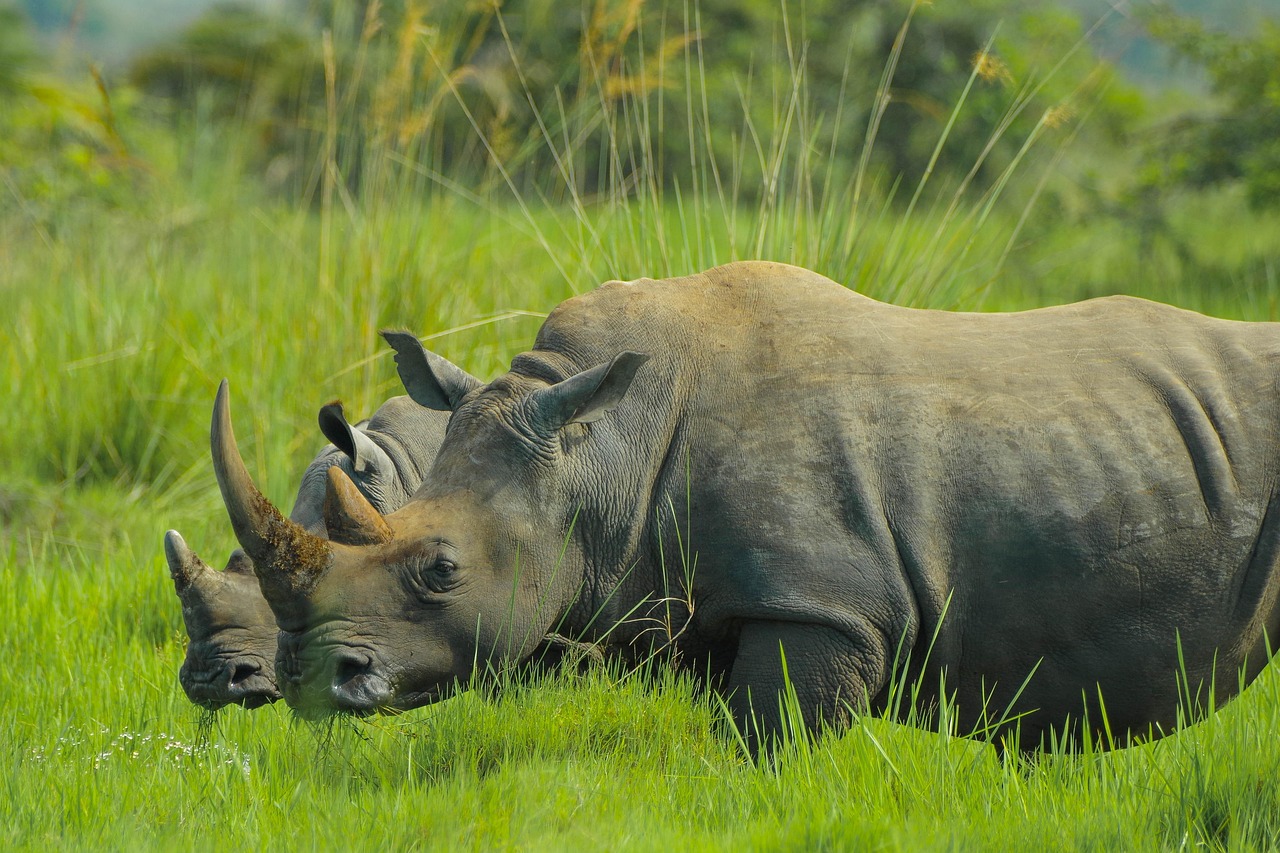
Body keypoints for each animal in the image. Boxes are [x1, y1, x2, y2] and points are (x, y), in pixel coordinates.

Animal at [210, 261, 1280, 753]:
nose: (312, 681)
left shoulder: (822, 605)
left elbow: (771, 745)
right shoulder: (691, 600)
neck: (601, 445)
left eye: (441, 572)